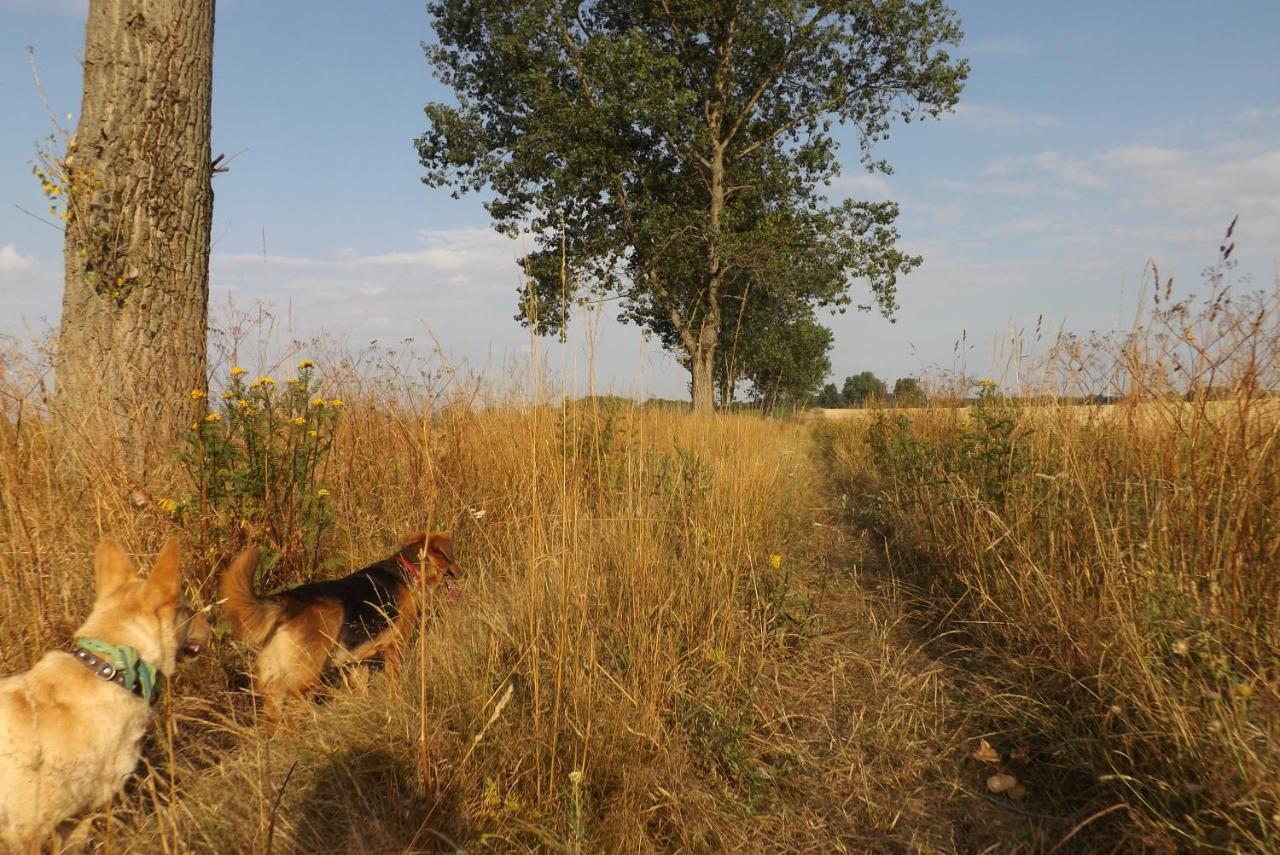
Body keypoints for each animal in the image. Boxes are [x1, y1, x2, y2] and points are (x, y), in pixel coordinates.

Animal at [220, 529, 460, 716]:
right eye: (452, 559)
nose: (461, 573)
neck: (408, 570)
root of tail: (288, 602)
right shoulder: (395, 648)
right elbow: (395, 684)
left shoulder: (356, 661)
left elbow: (361, 689)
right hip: (305, 679)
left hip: (274, 682)